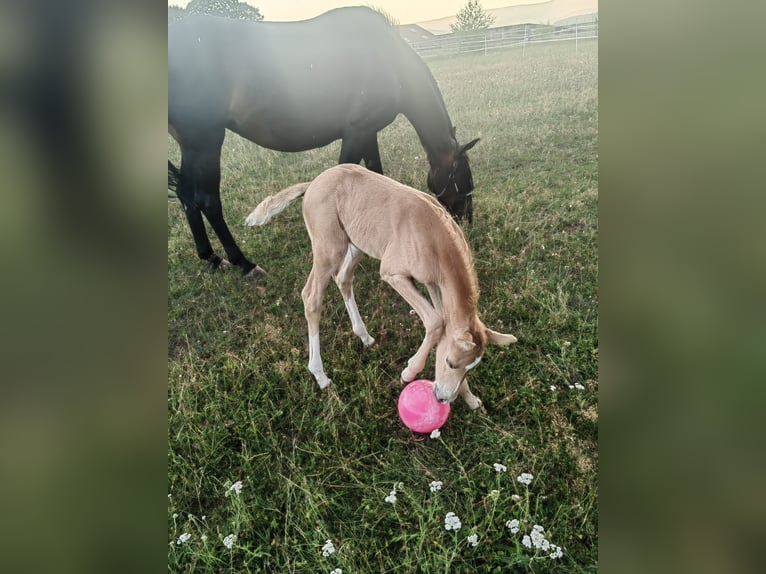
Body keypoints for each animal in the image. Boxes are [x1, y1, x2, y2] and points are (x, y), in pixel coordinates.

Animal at [168, 7, 480, 280]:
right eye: (464, 182)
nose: (464, 222)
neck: (389, 60)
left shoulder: (368, 132)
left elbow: (375, 173)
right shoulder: (356, 132)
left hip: (192, 145)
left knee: (186, 195)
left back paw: (211, 256)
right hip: (206, 142)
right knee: (207, 201)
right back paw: (244, 264)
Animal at [245, 164, 516, 408]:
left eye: (469, 369)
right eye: (450, 363)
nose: (442, 398)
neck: (436, 236)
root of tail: (312, 184)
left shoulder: (434, 283)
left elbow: (444, 324)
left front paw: (470, 399)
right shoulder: (392, 273)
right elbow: (436, 321)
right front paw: (409, 372)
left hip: (357, 243)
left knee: (343, 278)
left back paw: (364, 336)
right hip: (329, 248)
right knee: (311, 296)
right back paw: (320, 375)